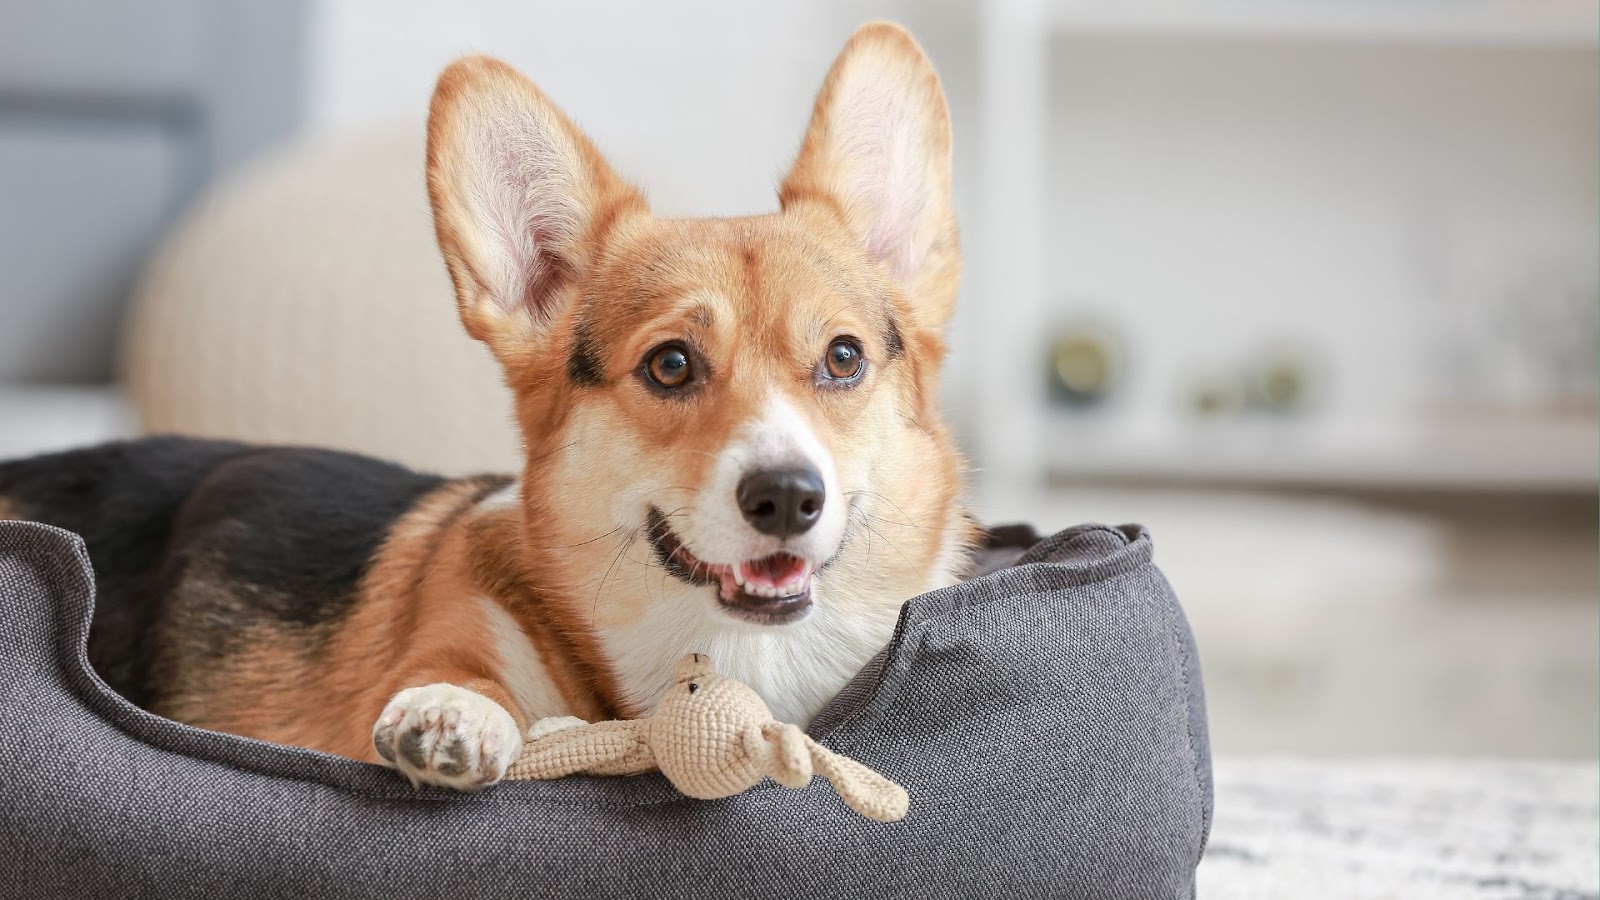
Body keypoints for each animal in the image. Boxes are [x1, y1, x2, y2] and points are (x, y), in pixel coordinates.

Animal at [0, 22, 972, 784]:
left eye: (842, 357)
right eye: (670, 366)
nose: (787, 497)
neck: (728, 657)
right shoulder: (461, 628)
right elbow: (463, 678)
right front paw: (454, 716)